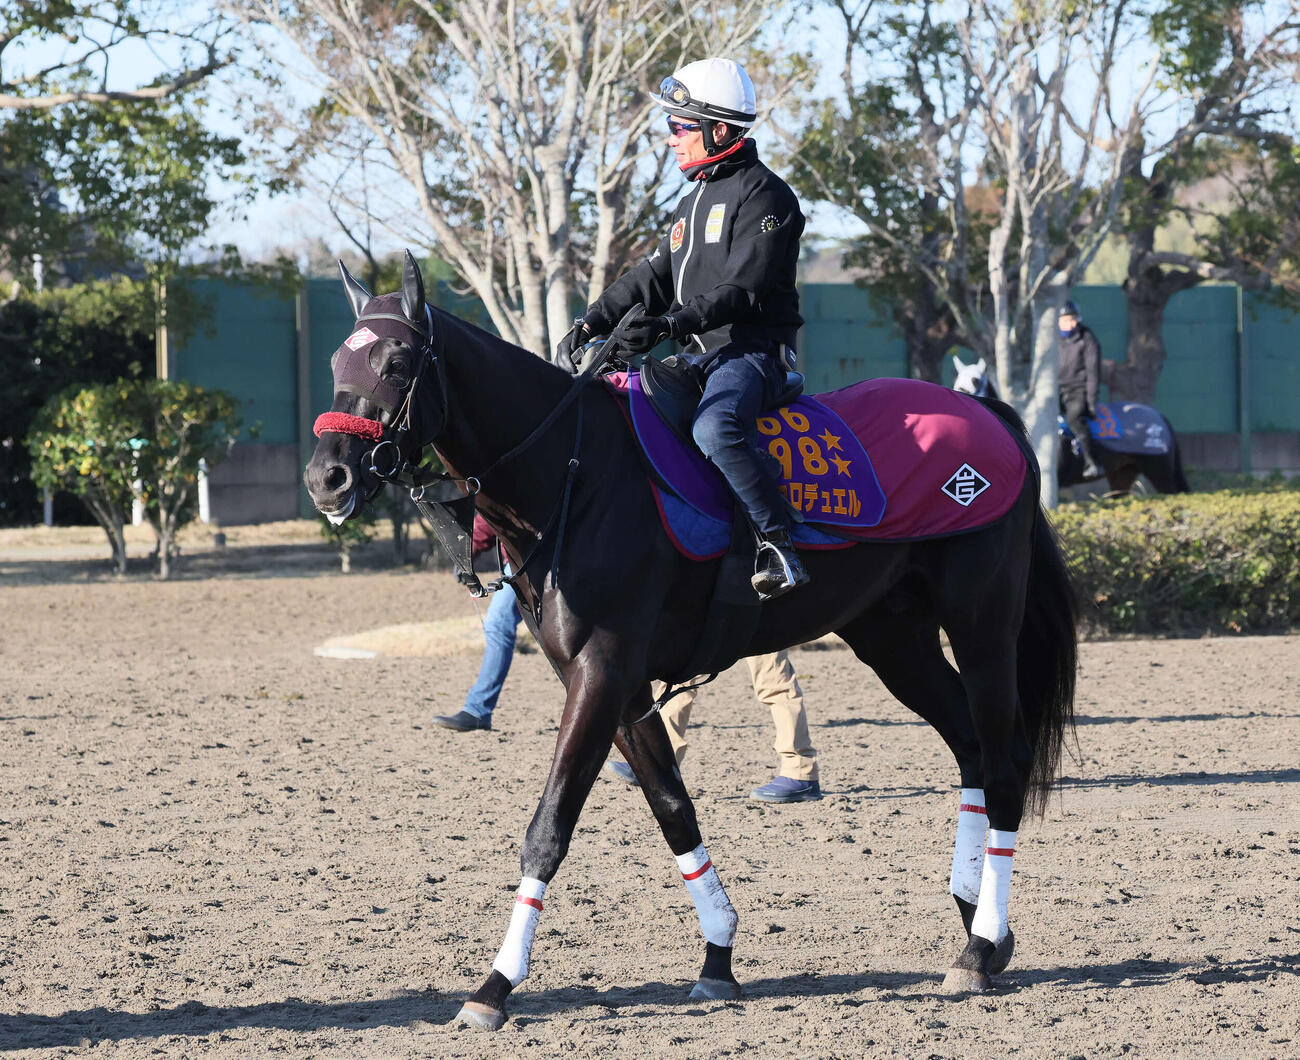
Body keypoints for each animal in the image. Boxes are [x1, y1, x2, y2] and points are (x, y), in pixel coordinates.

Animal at [303, 252, 1078, 1030]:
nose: (325, 477)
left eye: (398, 360)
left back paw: (978, 948)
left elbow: (549, 827)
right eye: (338, 358)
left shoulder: (602, 673)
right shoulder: (616, 687)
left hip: (981, 625)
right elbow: (673, 808)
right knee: (970, 748)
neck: (575, 473)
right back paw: (982, 924)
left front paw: (494, 985)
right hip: (894, 639)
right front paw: (718, 955)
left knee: (1002, 761)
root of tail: (990, 415)